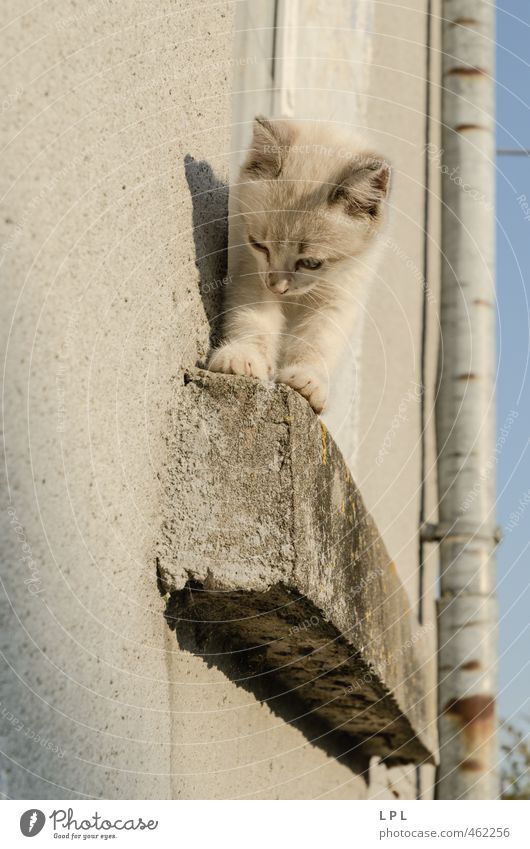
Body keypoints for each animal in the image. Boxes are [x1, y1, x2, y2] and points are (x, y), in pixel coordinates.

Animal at [206, 117, 388, 414]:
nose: (277, 287)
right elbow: (252, 318)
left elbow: (320, 340)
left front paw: (308, 378)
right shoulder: (250, 270)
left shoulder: (342, 292)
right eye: (259, 245)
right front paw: (243, 356)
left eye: (311, 263)